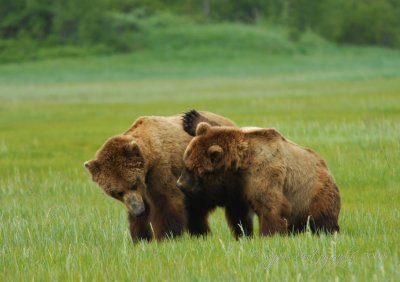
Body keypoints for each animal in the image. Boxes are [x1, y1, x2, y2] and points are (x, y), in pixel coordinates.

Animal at [83, 111, 236, 241]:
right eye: (117, 192)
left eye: (134, 184)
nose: (138, 210)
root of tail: (231, 122)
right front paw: (140, 238)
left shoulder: (160, 170)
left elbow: (167, 202)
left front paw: (167, 237)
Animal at [178, 119, 340, 236]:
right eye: (185, 163)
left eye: (193, 169)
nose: (180, 184)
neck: (241, 165)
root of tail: (326, 166)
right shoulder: (237, 189)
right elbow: (239, 215)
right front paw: (243, 234)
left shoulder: (264, 173)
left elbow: (269, 207)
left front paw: (269, 235)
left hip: (312, 194)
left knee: (322, 220)